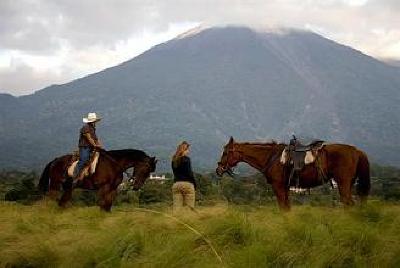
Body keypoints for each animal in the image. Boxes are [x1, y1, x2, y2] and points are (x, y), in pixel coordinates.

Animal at [217, 137, 370, 210]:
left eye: (225, 152)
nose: (218, 169)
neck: (271, 157)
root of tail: (356, 151)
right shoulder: (285, 188)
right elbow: (287, 207)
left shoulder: (278, 187)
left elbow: (283, 208)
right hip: (349, 183)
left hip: (343, 183)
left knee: (348, 204)